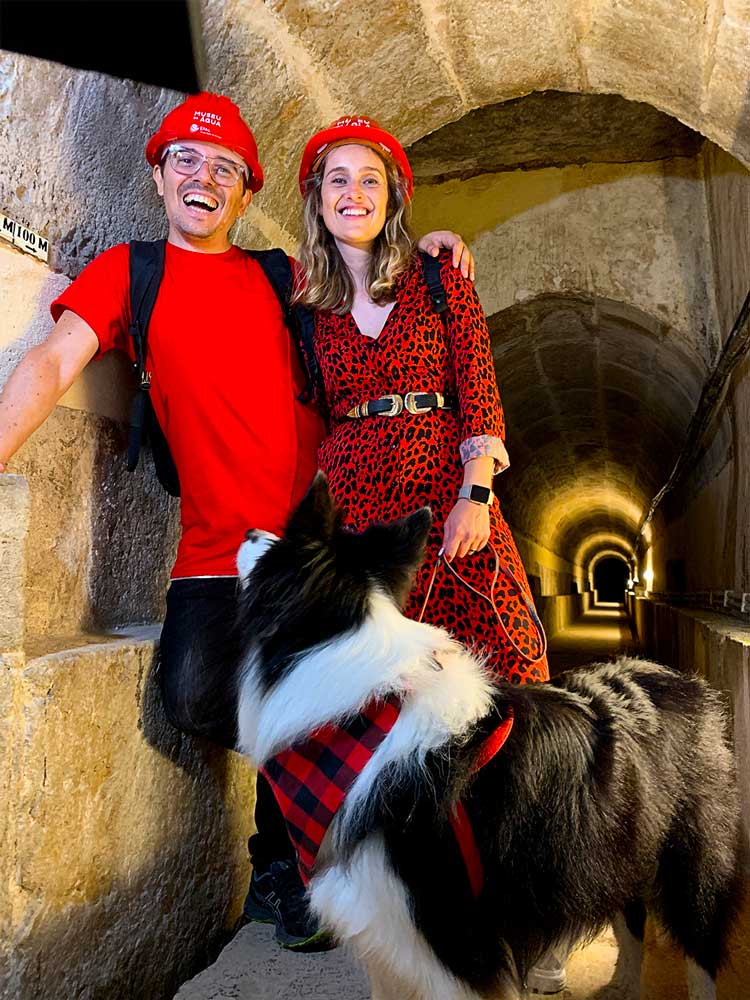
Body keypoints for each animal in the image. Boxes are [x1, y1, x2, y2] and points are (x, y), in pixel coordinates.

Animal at [235, 476, 748, 1000]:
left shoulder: (457, 944)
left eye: (276, 544)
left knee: (699, 946)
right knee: (630, 915)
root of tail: (686, 681)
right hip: (621, 839)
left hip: (691, 855)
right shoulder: (389, 932)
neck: (369, 718)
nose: (249, 529)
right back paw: (621, 987)